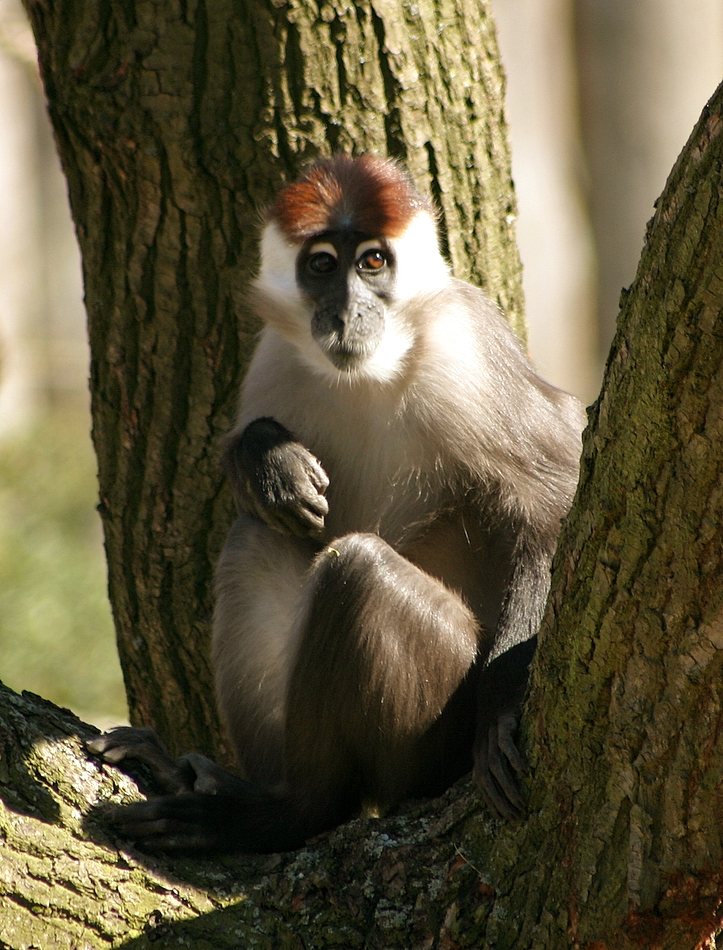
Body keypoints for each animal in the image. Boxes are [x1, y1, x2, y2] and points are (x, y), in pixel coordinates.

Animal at [89, 154, 588, 856]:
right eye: (322, 265)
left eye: (373, 262)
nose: (347, 313)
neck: (371, 373)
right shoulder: (274, 357)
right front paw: (266, 458)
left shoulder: (467, 348)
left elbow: (552, 506)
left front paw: (503, 713)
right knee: (257, 534)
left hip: (430, 734)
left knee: (359, 571)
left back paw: (291, 813)